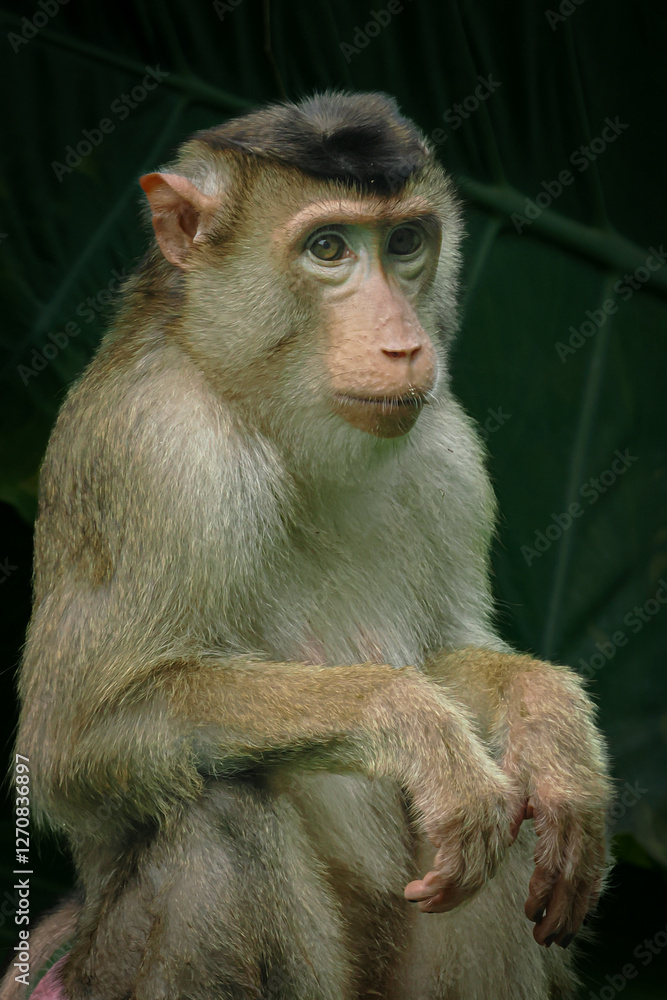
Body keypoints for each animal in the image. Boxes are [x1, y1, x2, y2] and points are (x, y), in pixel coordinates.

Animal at [4, 91, 611, 1000]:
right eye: (328, 248)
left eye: (405, 243)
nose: (403, 343)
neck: (268, 413)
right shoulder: (155, 452)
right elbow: (70, 740)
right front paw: (403, 718)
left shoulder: (449, 452)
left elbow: (454, 655)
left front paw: (548, 716)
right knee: (219, 805)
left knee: (514, 801)